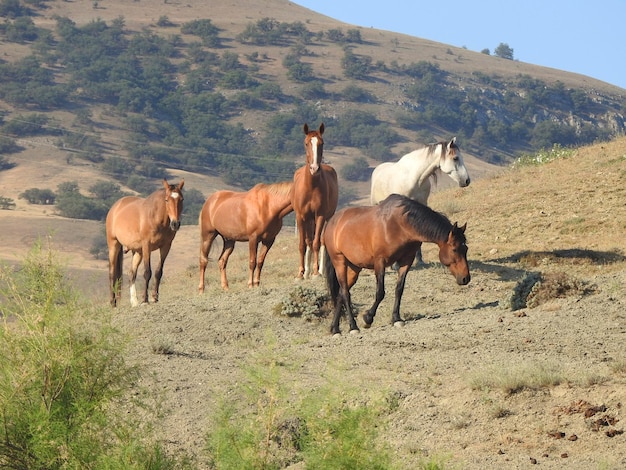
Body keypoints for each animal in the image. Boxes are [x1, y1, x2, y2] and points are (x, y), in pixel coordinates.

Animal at [104, 178, 183, 306]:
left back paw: (134, 301)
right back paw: (113, 302)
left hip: (137, 252)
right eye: (166, 200)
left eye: (181, 199)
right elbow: (147, 272)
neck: (155, 217)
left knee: (132, 273)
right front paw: (145, 299)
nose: (175, 224)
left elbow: (158, 272)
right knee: (112, 273)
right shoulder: (147, 246)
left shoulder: (166, 246)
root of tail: (115, 208)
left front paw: (155, 297)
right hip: (114, 245)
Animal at [292, 123, 338, 280]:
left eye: (321, 143)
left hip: (326, 218)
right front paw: (301, 273)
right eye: (306, 143)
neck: (311, 187)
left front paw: (316, 272)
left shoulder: (320, 216)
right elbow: (302, 244)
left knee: (322, 241)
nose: (314, 168)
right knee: (309, 241)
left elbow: (317, 242)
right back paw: (306, 270)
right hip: (309, 220)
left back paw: (321, 270)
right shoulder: (301, 217)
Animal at [322, 193, 468, 336]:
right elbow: (380, 292)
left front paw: (396, 319)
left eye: (466, 248)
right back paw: (353, 327)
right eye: (455, 249)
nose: (466, 278)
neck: (399, 224)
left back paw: (335, 329)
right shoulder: (380, 262)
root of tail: (332, 222)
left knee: (340, 294)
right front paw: (368, 318)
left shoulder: (406, 261)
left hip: (354, 268)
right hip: (340, 263)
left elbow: (399, 289)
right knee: (345, 293)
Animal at [368, 138, 466, 266]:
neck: (415, 178)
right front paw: (396, 264)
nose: (466, 180)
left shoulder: (422, 204)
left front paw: (419, 260)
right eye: (455, 158)